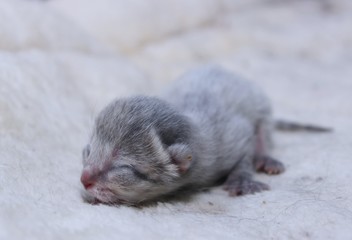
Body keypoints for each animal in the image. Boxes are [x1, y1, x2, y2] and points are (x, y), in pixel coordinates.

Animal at [80, 65, 328, 204]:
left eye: (122, 168)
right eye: (88, 151)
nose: (84, 179)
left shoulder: (232, 136)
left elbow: (246, 149)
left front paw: (241, 178)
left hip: (262, 108)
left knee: (263, 132)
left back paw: (266, 157)